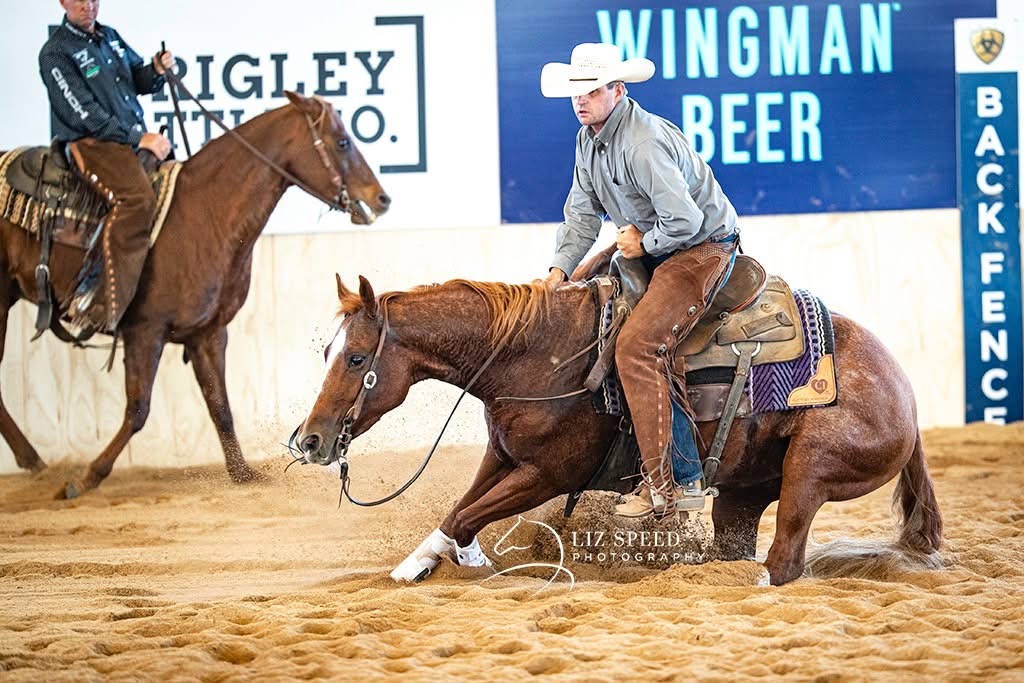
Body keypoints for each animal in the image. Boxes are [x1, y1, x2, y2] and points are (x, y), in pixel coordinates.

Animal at [1, 91, 390, 498]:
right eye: (342, 141)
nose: (381, 198)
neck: (206, 213)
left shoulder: (209, 333)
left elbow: (221, 407)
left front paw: (242, 473)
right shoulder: (145, 331)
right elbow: (138, 410)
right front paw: (87, 476)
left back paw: (34, 462)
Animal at [293, 261, 943, 586]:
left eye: (357, 358)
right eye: (325, 350)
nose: (310, 440)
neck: (537, 353)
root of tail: (904, 394)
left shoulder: (548, 474)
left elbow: (467, 514)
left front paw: (454, 561)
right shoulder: (503, 456)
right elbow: (461, 506)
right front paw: (432, 560)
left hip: (810, 469)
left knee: (785, 558)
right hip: (743, 491)